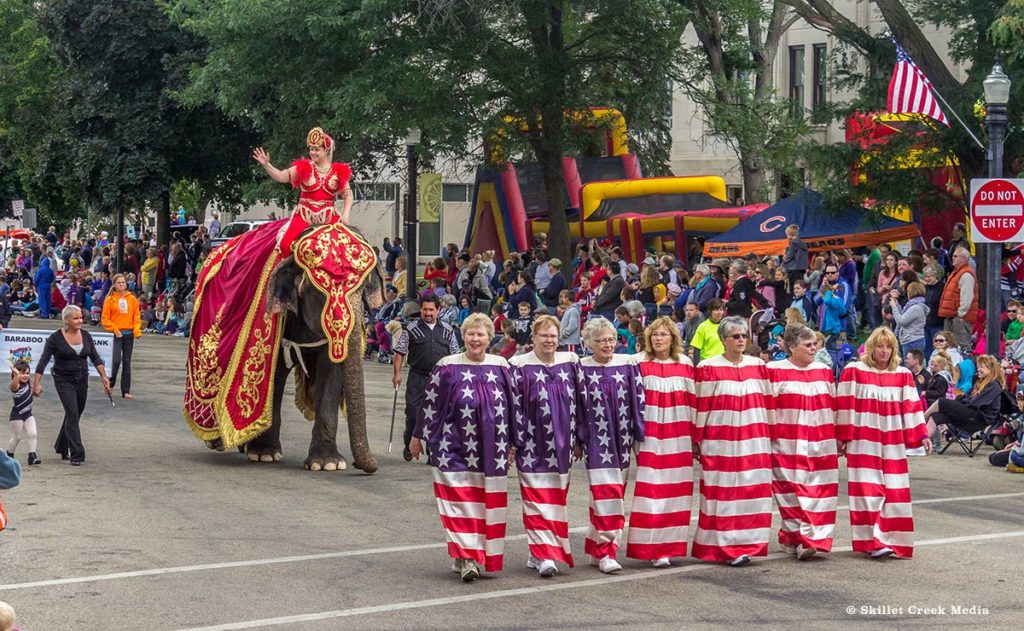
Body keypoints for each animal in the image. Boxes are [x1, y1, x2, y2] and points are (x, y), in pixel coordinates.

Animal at [239, 246, 387, 473]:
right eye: (319, 291)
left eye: (363, 288)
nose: (362, 464)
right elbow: (275, 374)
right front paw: (264, 454)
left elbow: (331, 372)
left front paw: (327, 464)